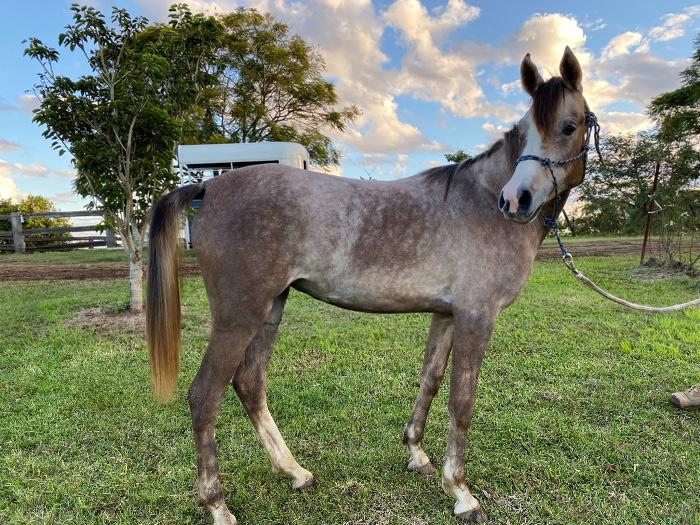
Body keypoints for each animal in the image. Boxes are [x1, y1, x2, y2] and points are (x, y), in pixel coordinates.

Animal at [146, 46, 591, 524]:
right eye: (526, 133)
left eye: (569, 126)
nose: (515, 200)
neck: (478, 202)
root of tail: (208, 187)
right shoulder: (477, 316)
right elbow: (462, 400)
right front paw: (460, 491)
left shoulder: (446, 314)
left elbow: (430, 381)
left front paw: (417, 455)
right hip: (239, 317)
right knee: (204, 397)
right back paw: (217, 505)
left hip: (271, 308)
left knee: (249, 384)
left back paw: (295, 472)